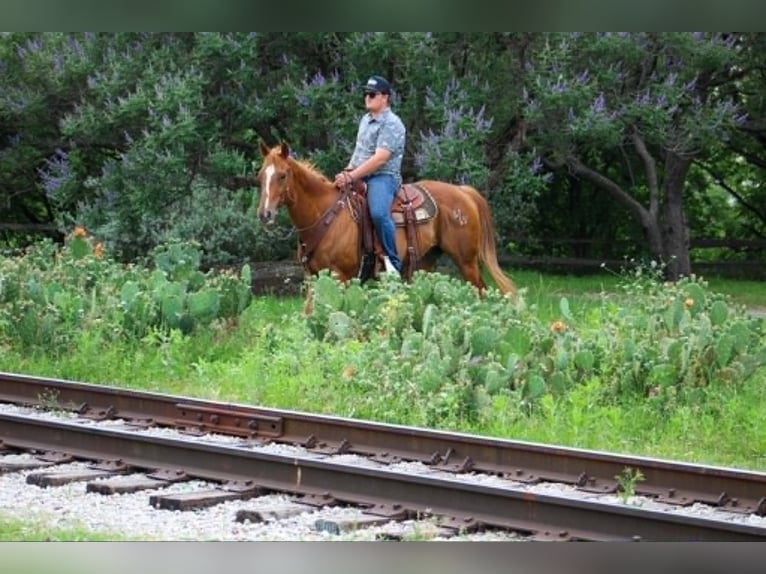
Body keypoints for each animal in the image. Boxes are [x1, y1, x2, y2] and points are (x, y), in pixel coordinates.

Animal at [256, 141, 516, 296]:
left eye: (282, 175)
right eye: (260, 175)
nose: (264, 214)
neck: (326, 215)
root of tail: (463, 192)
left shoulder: (341, 276)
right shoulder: (314, 277)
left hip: (466, 261)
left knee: (482, 291)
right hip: (425, 262)